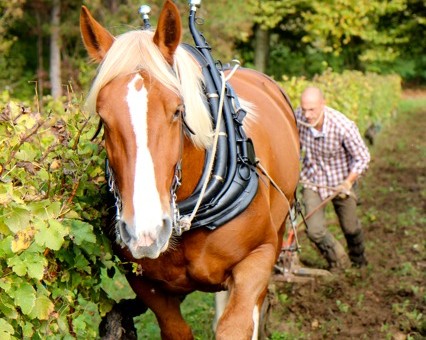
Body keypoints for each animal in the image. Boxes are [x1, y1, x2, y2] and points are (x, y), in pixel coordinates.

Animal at [80, 1, 300, 338]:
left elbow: (236, 325)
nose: (145, 231)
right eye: (103, 118)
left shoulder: (257, 258)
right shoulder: (147, 284)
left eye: (177, 111)